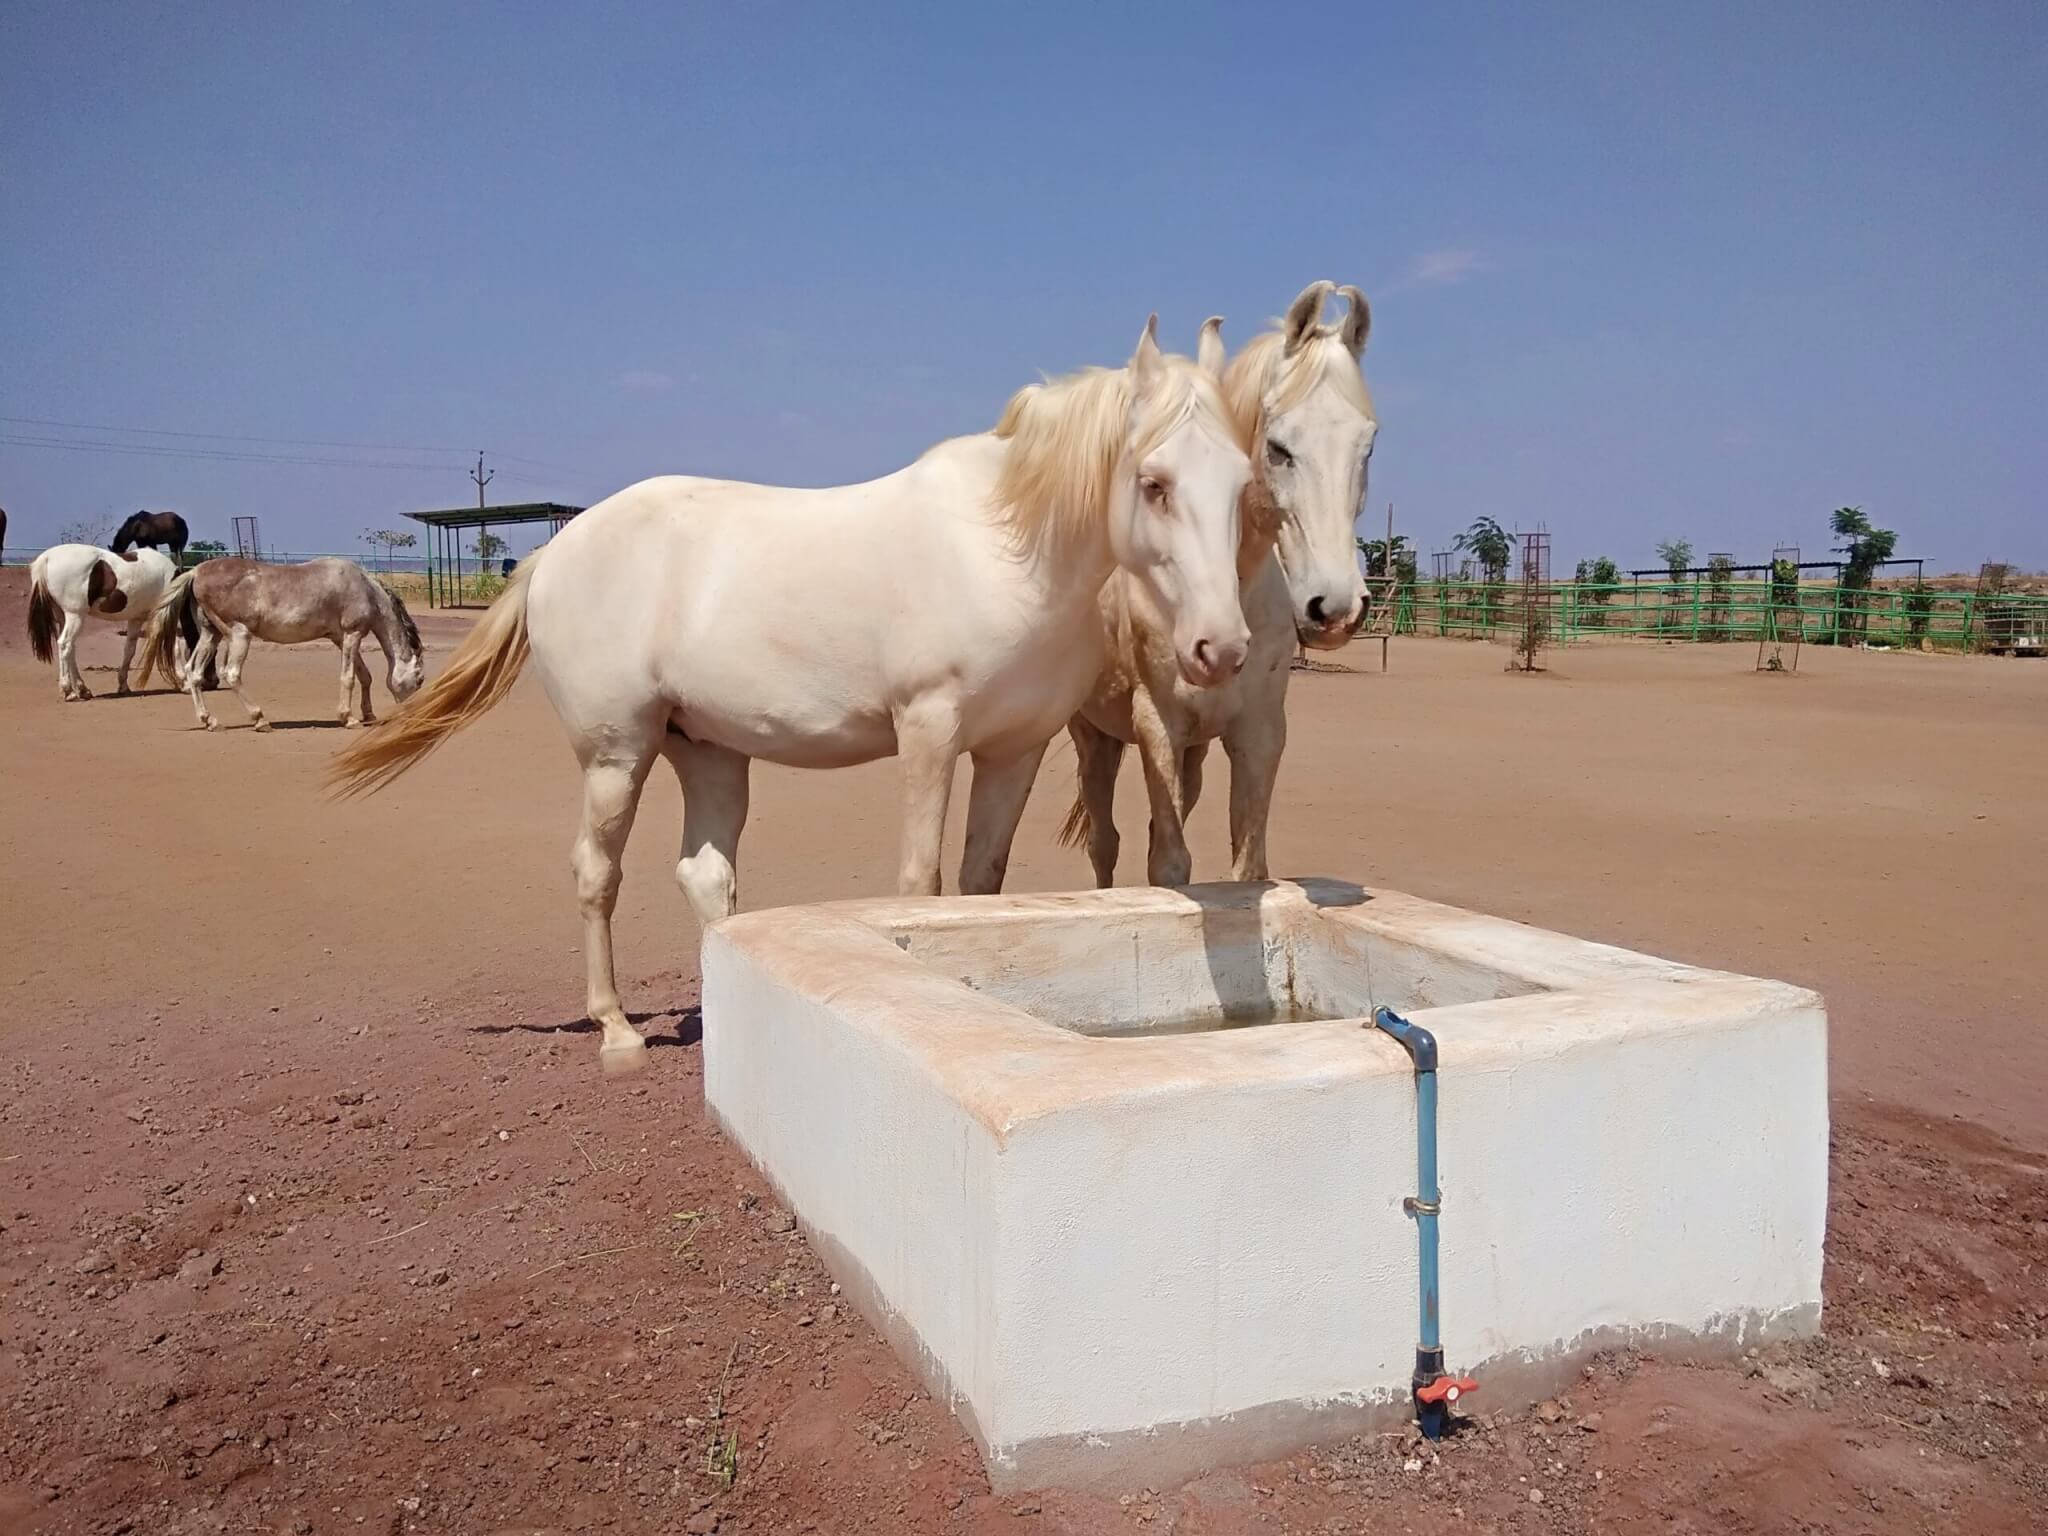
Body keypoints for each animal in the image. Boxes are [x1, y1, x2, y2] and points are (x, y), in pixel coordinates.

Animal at [25, 544, 186, 700]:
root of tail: (46, 557)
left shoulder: (136, 618)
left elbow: (129, 650)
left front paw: (123, 686)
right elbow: (176, 647)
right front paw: (184, 682)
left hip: (63, 617)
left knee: (71, 649)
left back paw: (83, 690)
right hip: (75, 615)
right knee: (65, 644)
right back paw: (68, 691)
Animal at [143, 561, 423, 733]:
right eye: (419, 679)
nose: (413, 713)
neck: (364, 588)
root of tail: (197, 572)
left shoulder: (340, 638)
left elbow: (365, 675)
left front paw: (368, 715)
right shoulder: (352, 635)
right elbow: (349, 678)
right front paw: (349, 718)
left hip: (211, 635)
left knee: (194, 673)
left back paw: (210, 721)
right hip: (238, 635)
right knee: (231, 674)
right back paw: (260, 719)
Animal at [333, 319, 1253, 1073]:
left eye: (1244, 481)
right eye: (1154, 482)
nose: (1222, 648)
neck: (1004, 546)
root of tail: (552, 555)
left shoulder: (1013, 750)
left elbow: (981, 880)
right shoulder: (929, 732)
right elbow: (920, 880)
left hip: (705, 750)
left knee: (706, 876)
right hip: (616, 753)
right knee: (597, 872)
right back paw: (618, 1032)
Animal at [1056, 282, 1376, 888]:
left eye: (1368, 446)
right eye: (1278, 448)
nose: (1336, 608)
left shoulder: (1258, 734)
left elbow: (1248, 865)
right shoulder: (1157, 725)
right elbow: (1167, 863)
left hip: (1196, 752)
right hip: (1096, 739)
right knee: (1104, 842)